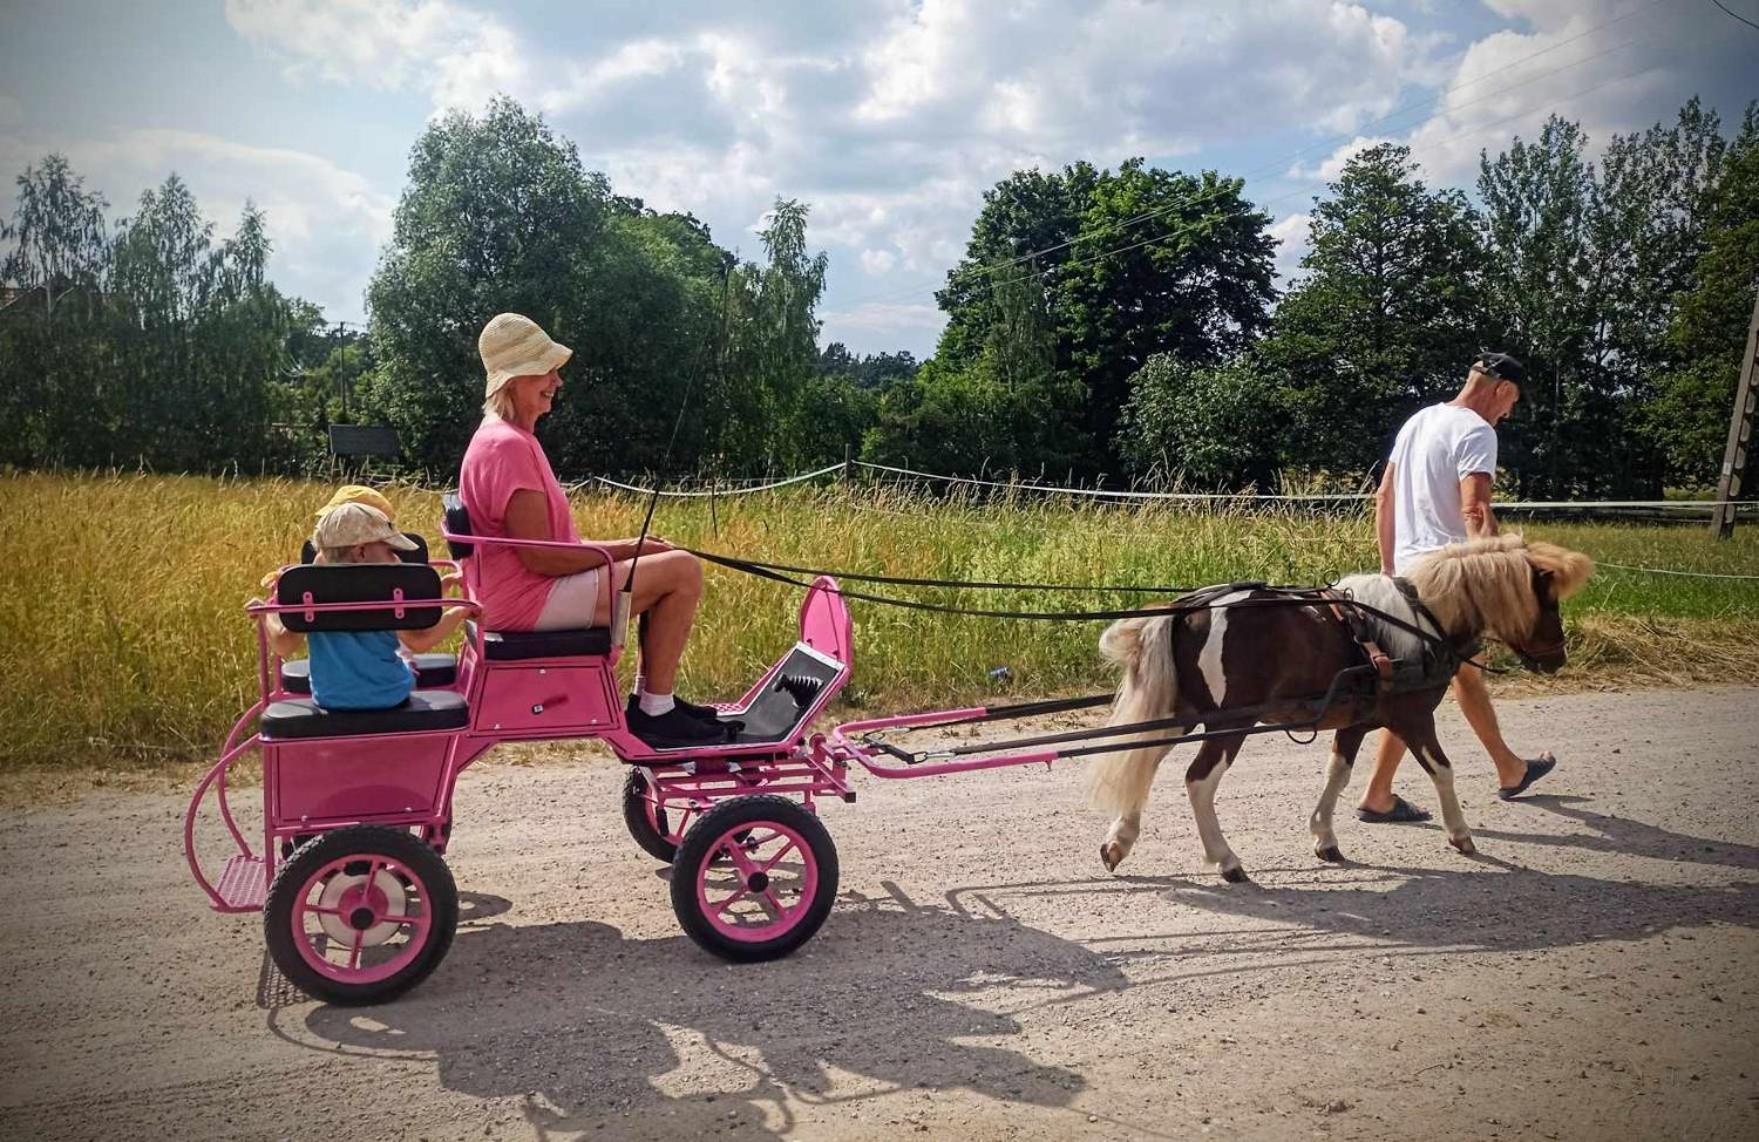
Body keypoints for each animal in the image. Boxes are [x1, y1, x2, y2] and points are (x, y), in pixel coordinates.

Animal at [1083, 534, 1597, 883]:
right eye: (1549, 603)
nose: (1558, 659)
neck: (1421, 619)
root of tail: (1192, 607)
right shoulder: (1413, 716)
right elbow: (1442, 770)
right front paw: (1461, 833)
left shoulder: (1356, 721)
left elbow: (1338, 773)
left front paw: (1324, 837)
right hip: (1232, 723)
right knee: (1198, 781)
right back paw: (1226, 859)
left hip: (1186, 714)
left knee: (1146, 760)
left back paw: (1118, 841)